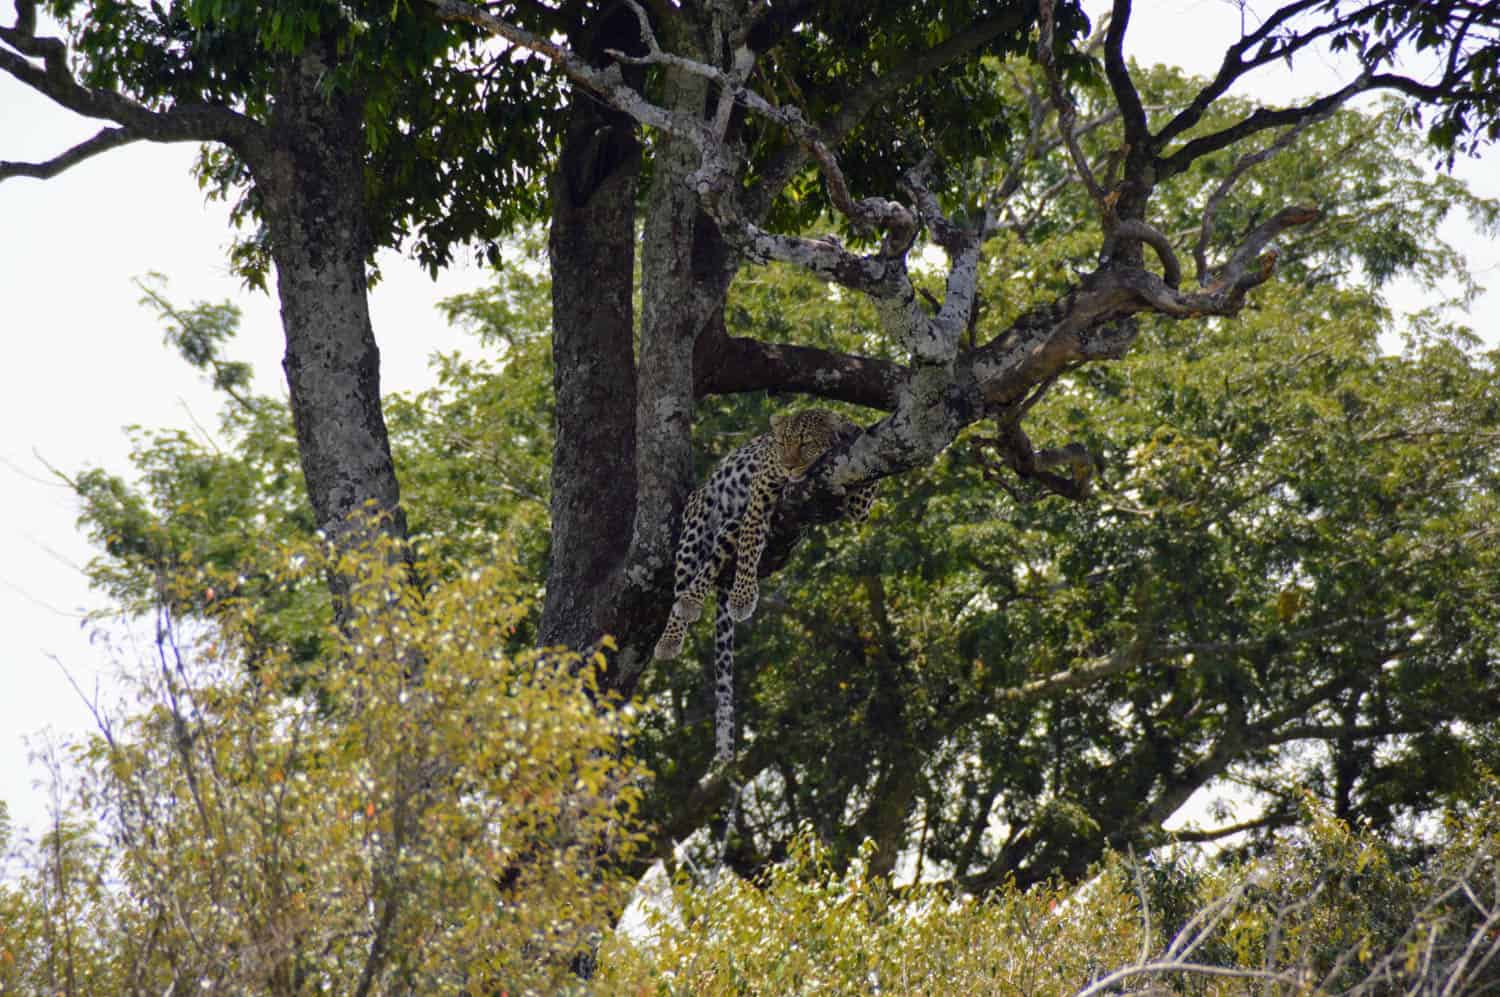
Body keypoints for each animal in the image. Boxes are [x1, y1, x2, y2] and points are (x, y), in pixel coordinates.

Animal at [653, 408, 876, 765]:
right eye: (781, 443)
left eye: (805, 443)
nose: (788, 465)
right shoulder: (760, 492)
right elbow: (750, 542)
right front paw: (744, 597)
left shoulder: (857, 497)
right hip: (698, 520)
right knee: (687, 580)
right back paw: (675, 628)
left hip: (728, 526)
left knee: (717, 561)